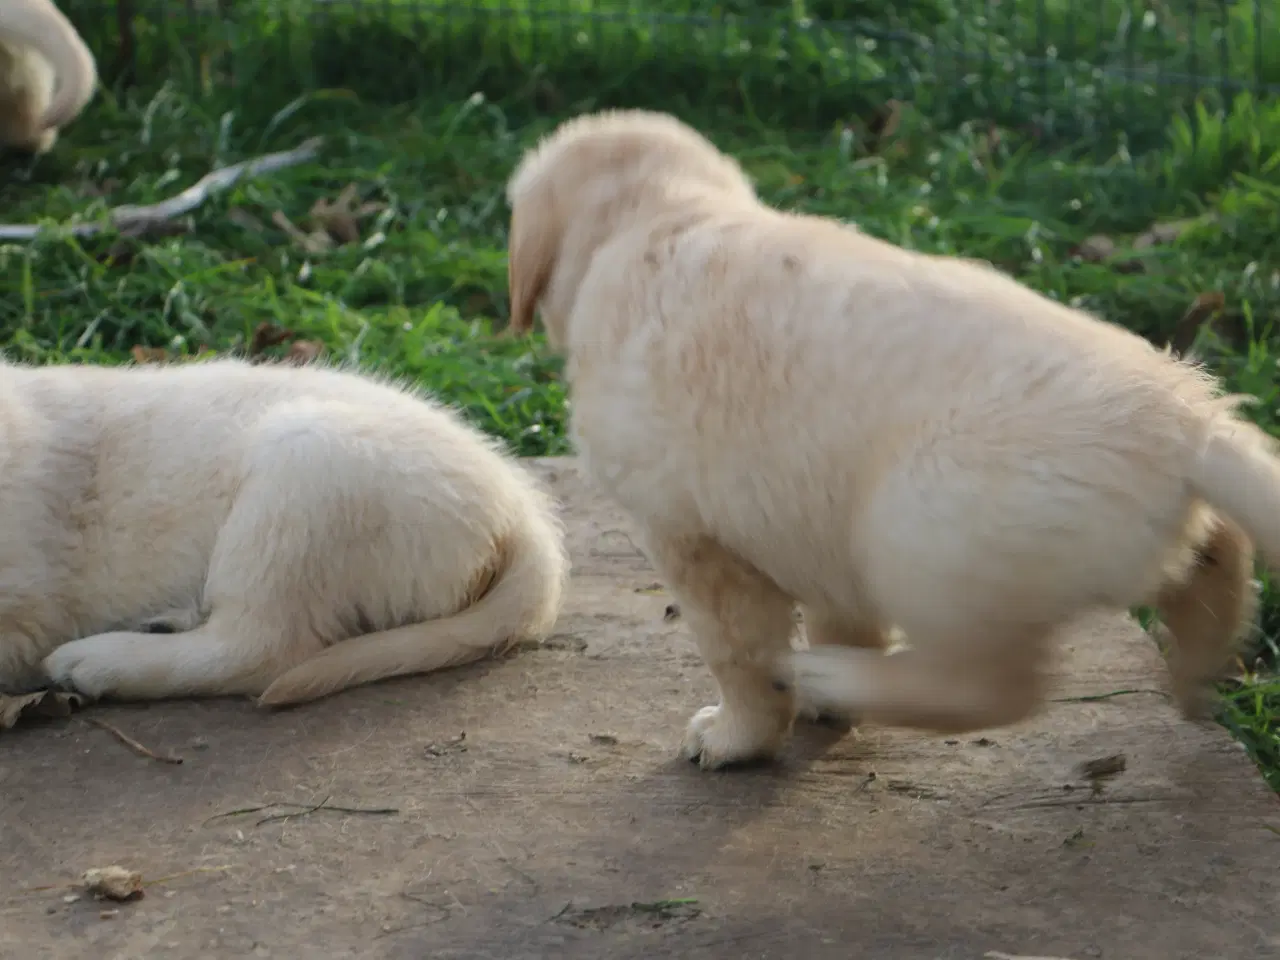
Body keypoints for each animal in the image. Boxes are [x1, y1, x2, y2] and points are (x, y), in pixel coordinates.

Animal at [506, 110, 1280, 773]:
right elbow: (839, 614)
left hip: (918, 538)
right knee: (1216, 560)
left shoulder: (691, 535)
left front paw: (735, 737)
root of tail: (1186, 424)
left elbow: (741, 654)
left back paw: (841, 678)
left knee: (997, 689)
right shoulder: (811, 521)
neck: (658, 218)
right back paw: (1197, 674)